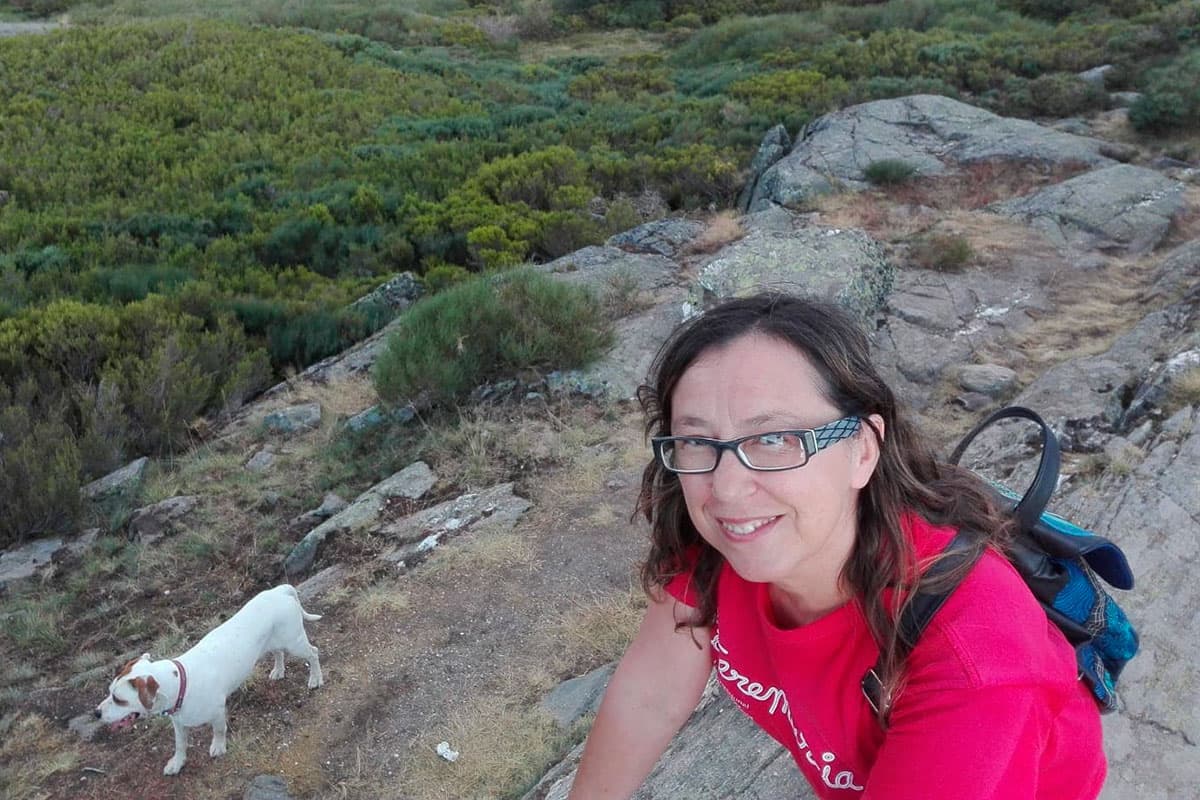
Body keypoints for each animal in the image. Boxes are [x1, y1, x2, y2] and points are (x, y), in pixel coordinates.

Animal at [95, 582, 324, 777]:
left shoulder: (217, 712)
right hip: (273, 643)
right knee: (278, 652)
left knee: (313, 653)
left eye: (119, 699)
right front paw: (177, 763)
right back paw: (278, 670)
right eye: (109, 691)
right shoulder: (178, 724)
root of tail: (279, 590)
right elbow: (180, 745)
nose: (96, 713)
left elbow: (219, 730)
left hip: (294, 642)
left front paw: (218, 746)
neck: (182, 684)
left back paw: (315, 678)